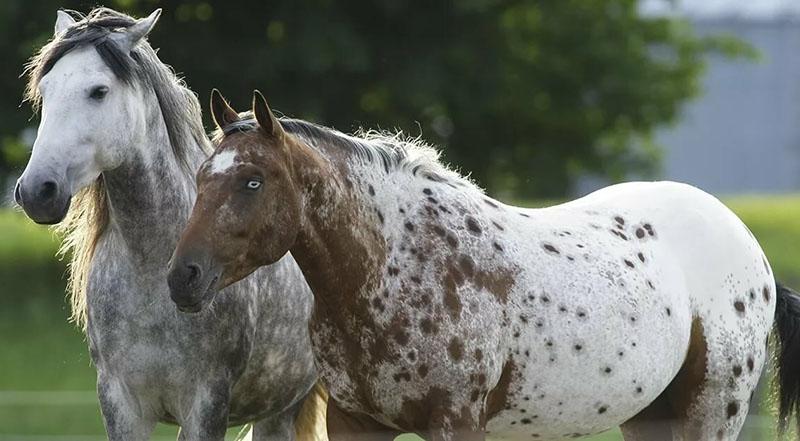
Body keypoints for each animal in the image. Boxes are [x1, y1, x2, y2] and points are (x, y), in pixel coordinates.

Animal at [167, 91, 800, 438]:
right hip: (652, 416)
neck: (391, 268)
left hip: (709, 411)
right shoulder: (357, 424)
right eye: (201, 177)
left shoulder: (456, 424)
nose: (182, 278)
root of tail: (749, 246)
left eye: (252, 181)